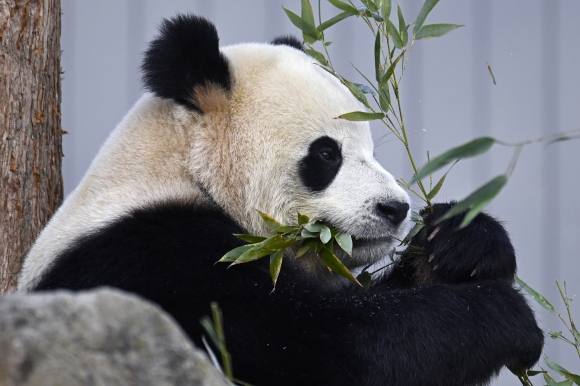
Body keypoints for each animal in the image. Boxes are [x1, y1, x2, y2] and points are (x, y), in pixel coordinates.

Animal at [19, 13, 544, 384]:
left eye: (372, 150)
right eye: (327, 154)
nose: (395, 209)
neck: (185, 168)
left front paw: (463, 242)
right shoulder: (158, 259)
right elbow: (327, 351)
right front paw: (509, 316)